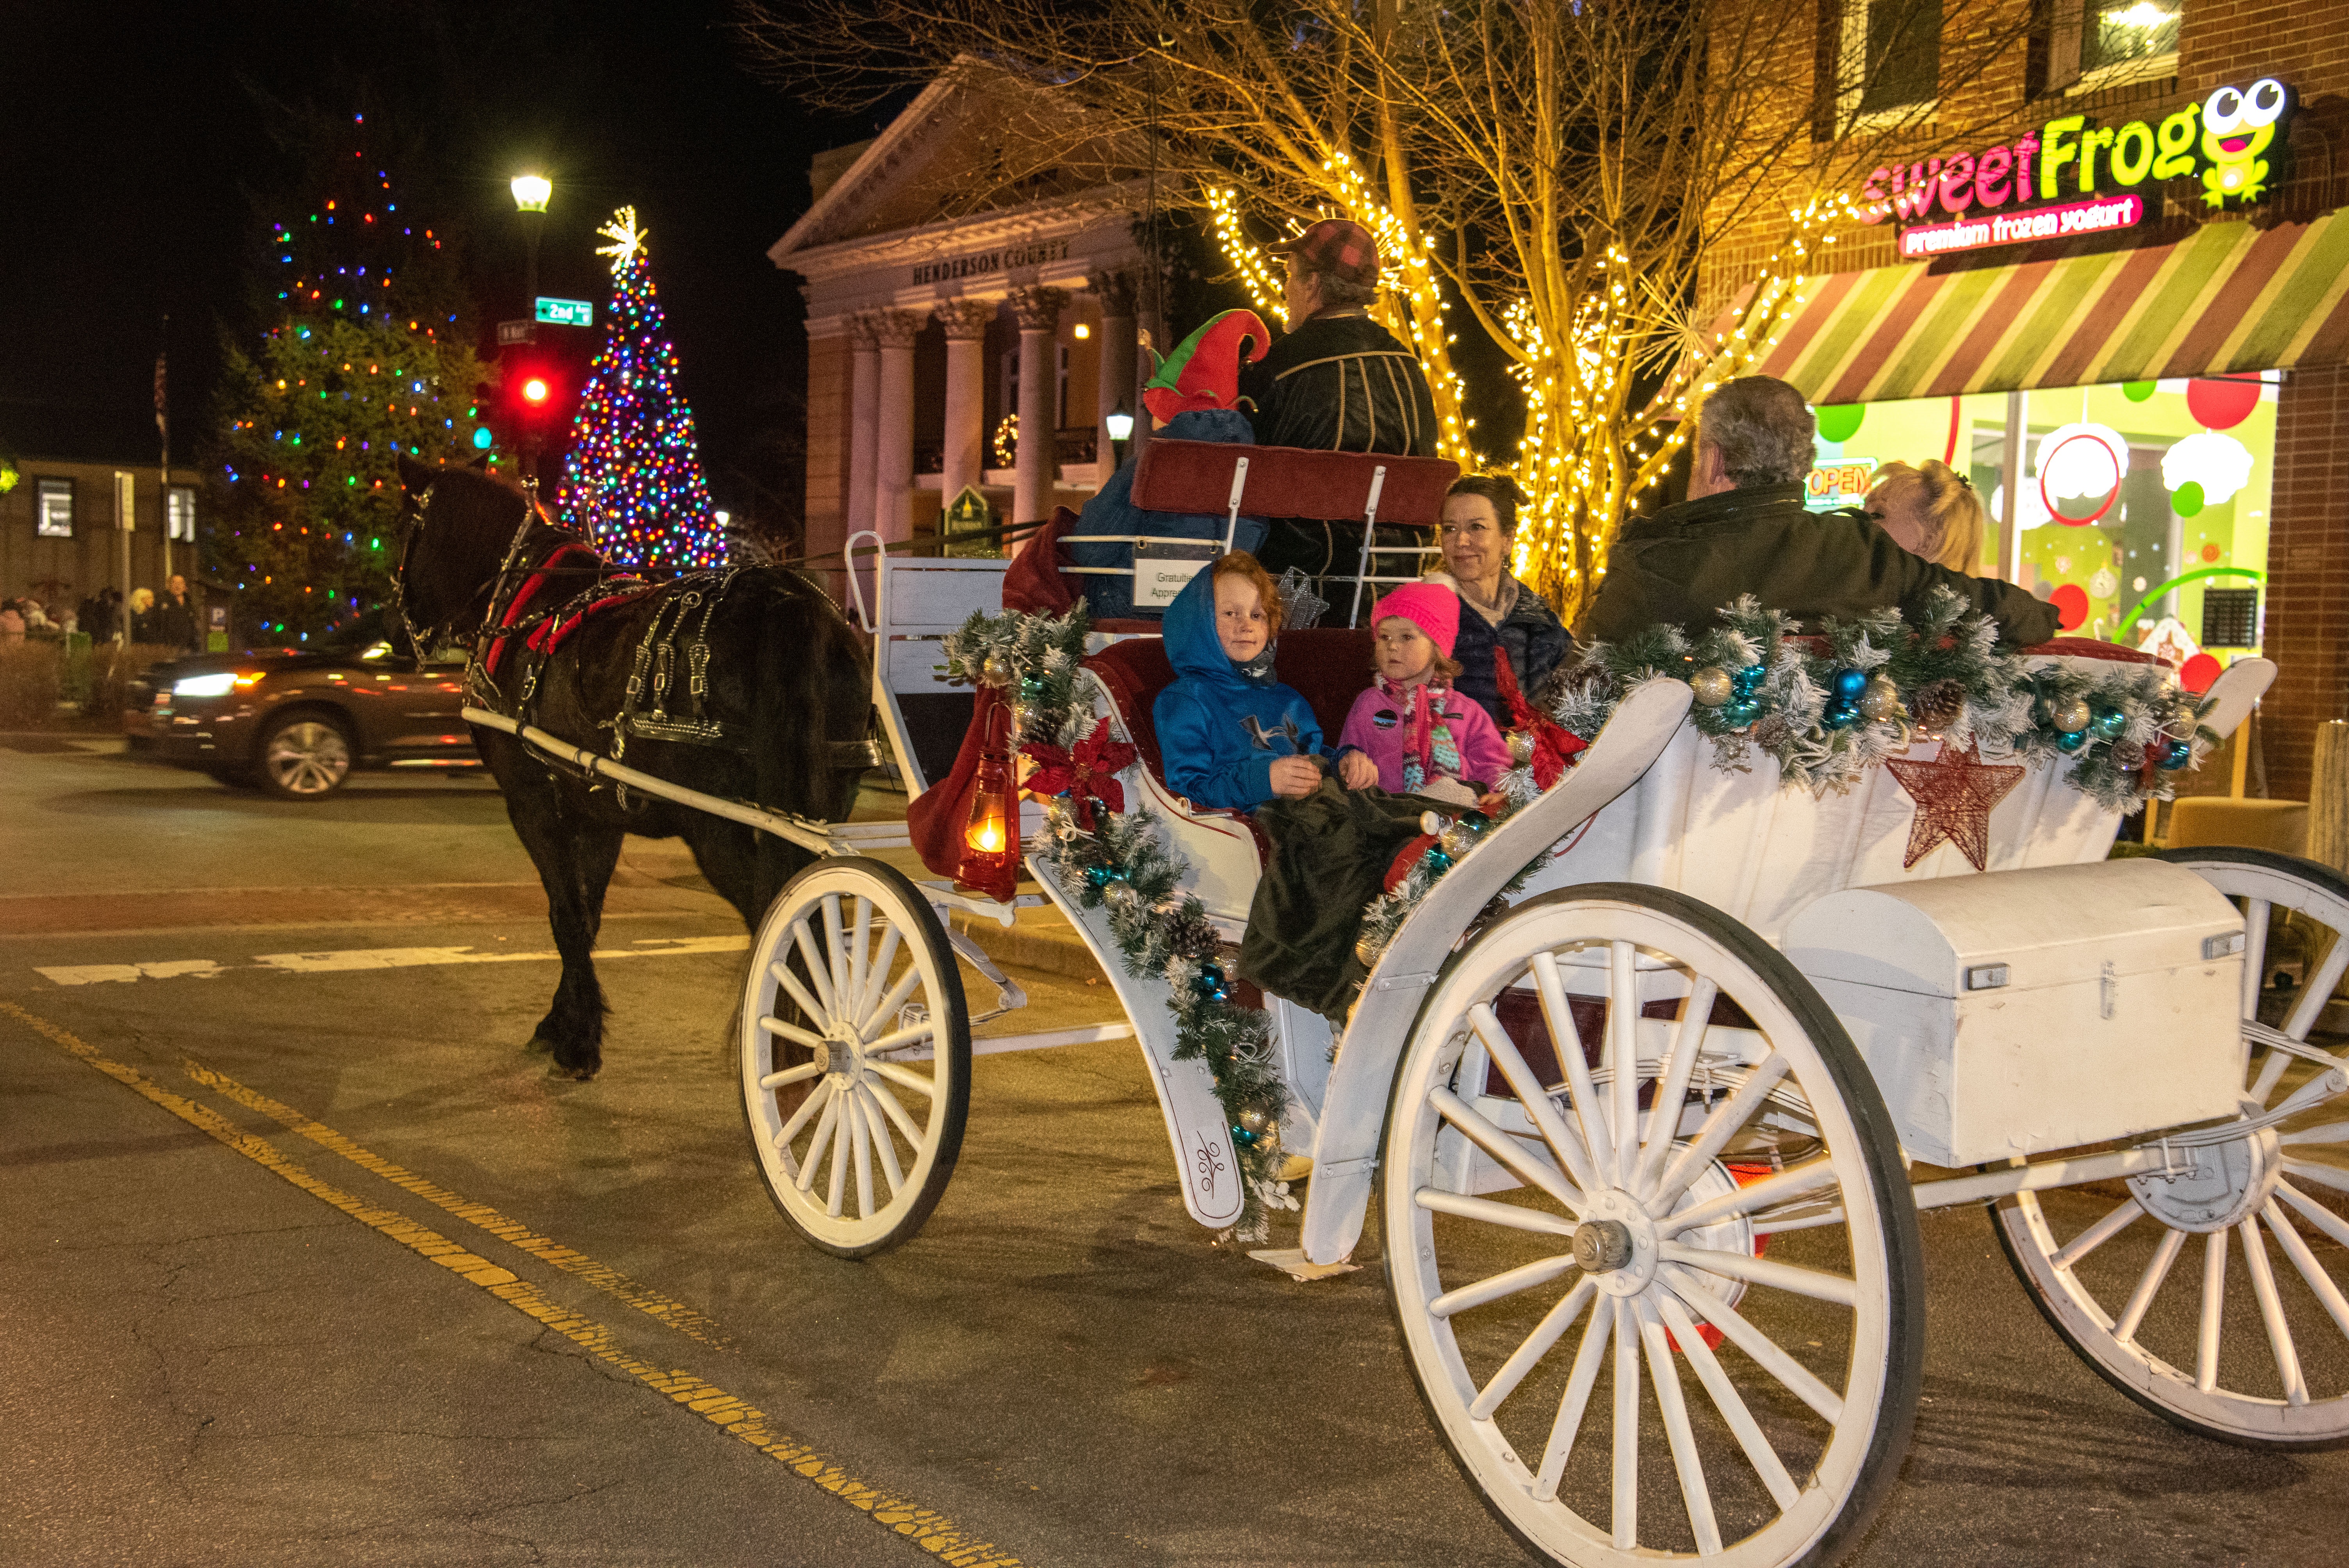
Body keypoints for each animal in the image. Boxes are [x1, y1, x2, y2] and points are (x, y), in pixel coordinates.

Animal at [394, 453, 873, 1080]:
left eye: (406, 531)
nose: (398, 630)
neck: (526, 606)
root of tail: (787, 601)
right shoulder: (599, 812)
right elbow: (587, 914)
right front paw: (565, 1022)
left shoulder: (530, 801)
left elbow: (566, 915)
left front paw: (576, 1043)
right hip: (817, 811)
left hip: (718, 827)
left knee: (783, 924)